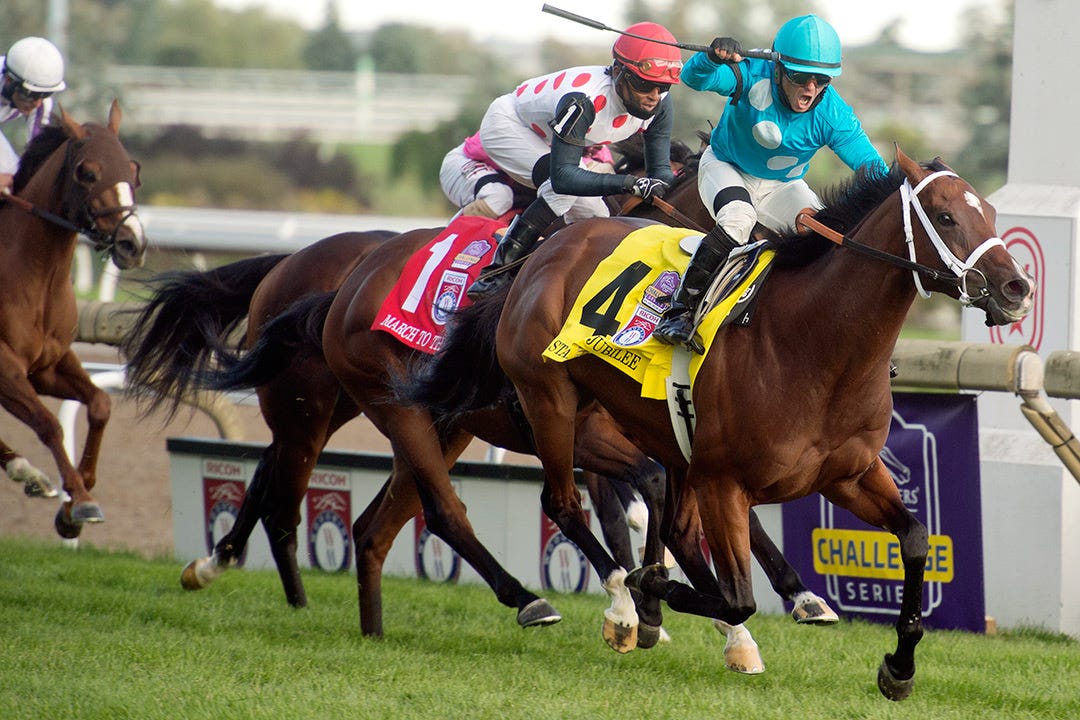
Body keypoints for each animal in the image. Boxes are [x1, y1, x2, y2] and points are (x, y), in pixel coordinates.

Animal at [0, 100, 147, 537]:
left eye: (133, 170)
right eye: (88, 172)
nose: (133, 244)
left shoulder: (48, 364)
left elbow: (100, 403)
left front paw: (74, 502)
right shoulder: (4, 365)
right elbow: (49, 423)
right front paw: (80, 501)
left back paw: (27, 472)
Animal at [404, 149, 1034, 699]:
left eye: (991, 213)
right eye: (946, 216)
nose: (1016, 289)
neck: (816, 346)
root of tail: (540, 253)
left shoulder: (847, 475)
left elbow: (916, 538)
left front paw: (899, 667)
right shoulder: (724, 481)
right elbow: (735, 595)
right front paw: (651, 590)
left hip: (655, 433)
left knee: (671, 524)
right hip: (552, 404)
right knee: (560, 503)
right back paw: (621, 606)